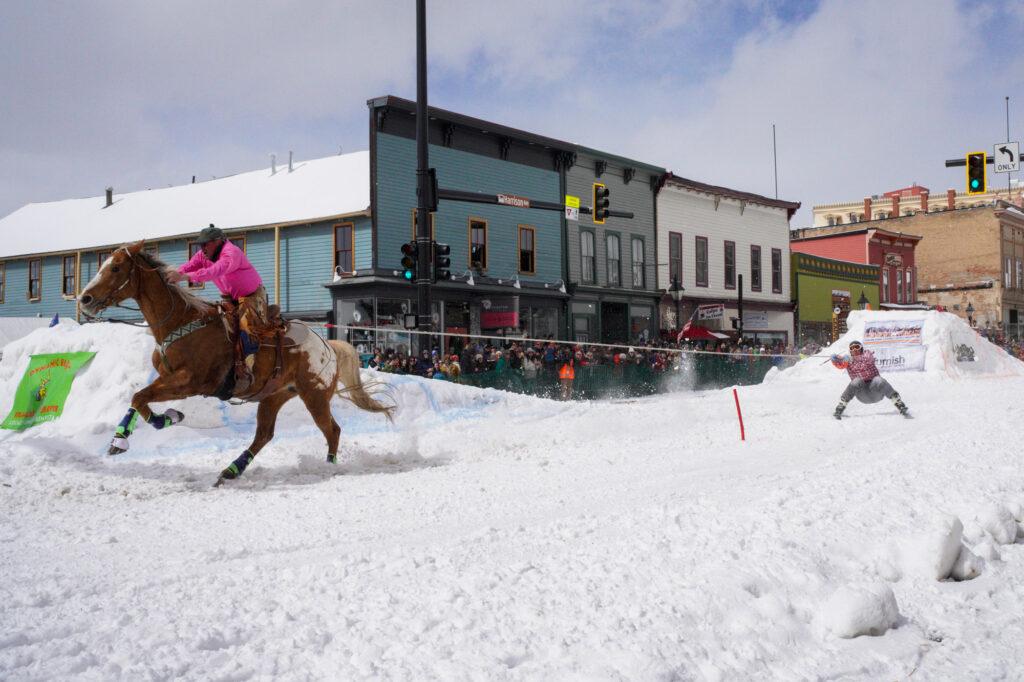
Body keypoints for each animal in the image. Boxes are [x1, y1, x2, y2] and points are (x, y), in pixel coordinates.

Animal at [75, 241, 393, 481]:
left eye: (115, 268)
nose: (85, 299)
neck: (180, 322)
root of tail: (328, 345)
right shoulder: (168, 379)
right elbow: (138, 398)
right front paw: (126, 436)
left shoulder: (188, 382)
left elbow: (140, 397)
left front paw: (160, 421)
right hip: (274, 396)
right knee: (264, 435)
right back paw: (231, 470)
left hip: (314, 396)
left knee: (332, 430)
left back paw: (327, 466)